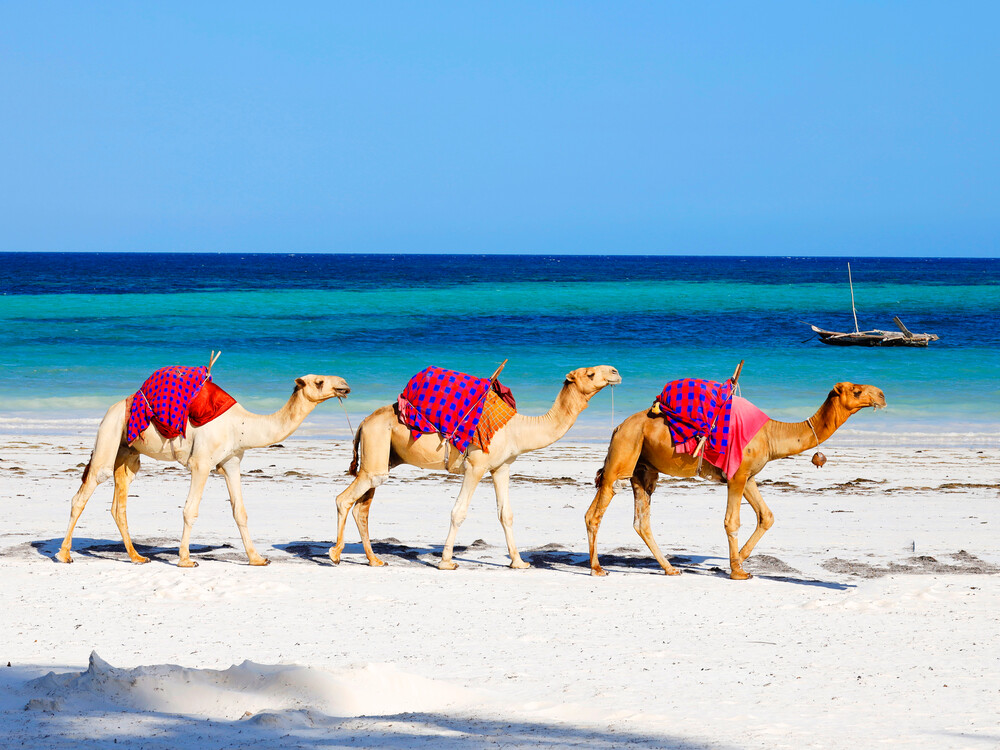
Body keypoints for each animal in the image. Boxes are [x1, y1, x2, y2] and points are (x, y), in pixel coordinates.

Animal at [56, 374, 350, 567]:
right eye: (319, 382)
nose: (344, 385)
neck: (241, 425)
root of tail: (113, 407)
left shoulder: (232, 462)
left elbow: (240, 511)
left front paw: (257, 558)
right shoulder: (201, 463)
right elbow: (190, 510)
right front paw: (186, 560)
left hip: (127, 452)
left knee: (119, 504)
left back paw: (137, 557)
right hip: (109, 433)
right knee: (87, 489)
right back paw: (64, 555)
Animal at [330, 365, 621, 570]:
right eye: (591, 373)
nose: (615, 372)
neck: (517, 429)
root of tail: (364, 422)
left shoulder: (501, 467)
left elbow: (506, 514)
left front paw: (519, 562)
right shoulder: (476, 466)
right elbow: (458, 511)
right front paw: (446, 561)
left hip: (383, 456)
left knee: (362, 507)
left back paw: (374, 560)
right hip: (377, 446)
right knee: (344, 499)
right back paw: (335, 554)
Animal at [585, 381, 886, 580]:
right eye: (857, 391)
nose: (882, 396)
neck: (772, 434)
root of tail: (617, 427)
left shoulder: (748, 476)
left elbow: (767, 516)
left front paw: (736, 561)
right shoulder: (736, 476)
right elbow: (732, 521)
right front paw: (738, 571)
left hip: (643, 468)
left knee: (641, 520)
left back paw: (670, 568)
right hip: (623, 455)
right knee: (595, 512)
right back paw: (597, 569)